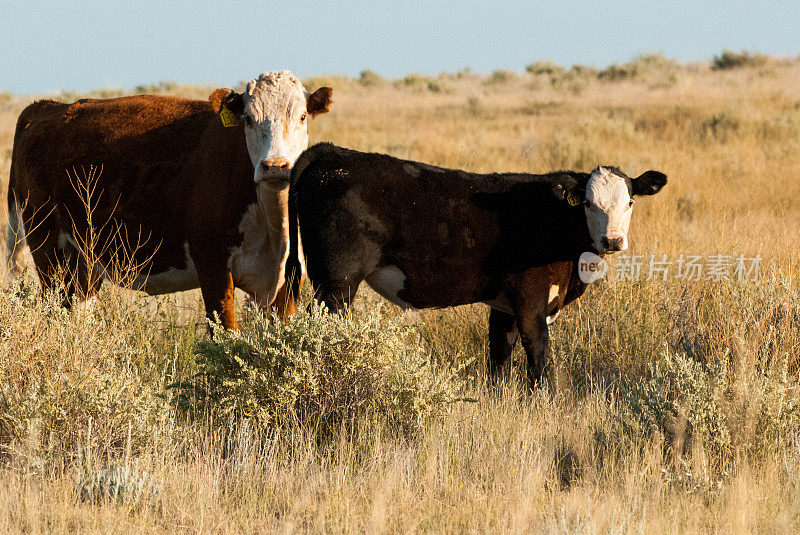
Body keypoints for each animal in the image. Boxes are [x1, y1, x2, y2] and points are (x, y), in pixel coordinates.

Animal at [7, 71, 332, 330]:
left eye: (302, 116)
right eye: (249, 119)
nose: (274, 166)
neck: (274, 226)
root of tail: (47, 108)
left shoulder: (288, 280)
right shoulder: (212, 264)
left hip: (84, 262)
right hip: (47, 247)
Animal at [284, 142, 664, 386]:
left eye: (630, 202)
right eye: (587, 203)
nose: (612, 241)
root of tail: (332, 152)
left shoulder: (504, 304)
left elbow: (499, 355)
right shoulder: (530, 298)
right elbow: (538, 351)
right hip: (337, 282)